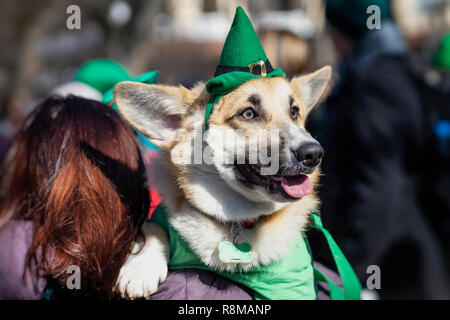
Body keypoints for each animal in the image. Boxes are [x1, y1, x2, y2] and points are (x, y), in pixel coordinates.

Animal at [112, 66, 330, 298]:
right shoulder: (159, 217)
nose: (314, 154)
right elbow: (153, 226)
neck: (239, 220)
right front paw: (141, 268)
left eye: (294, 112)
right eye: (248, 113)